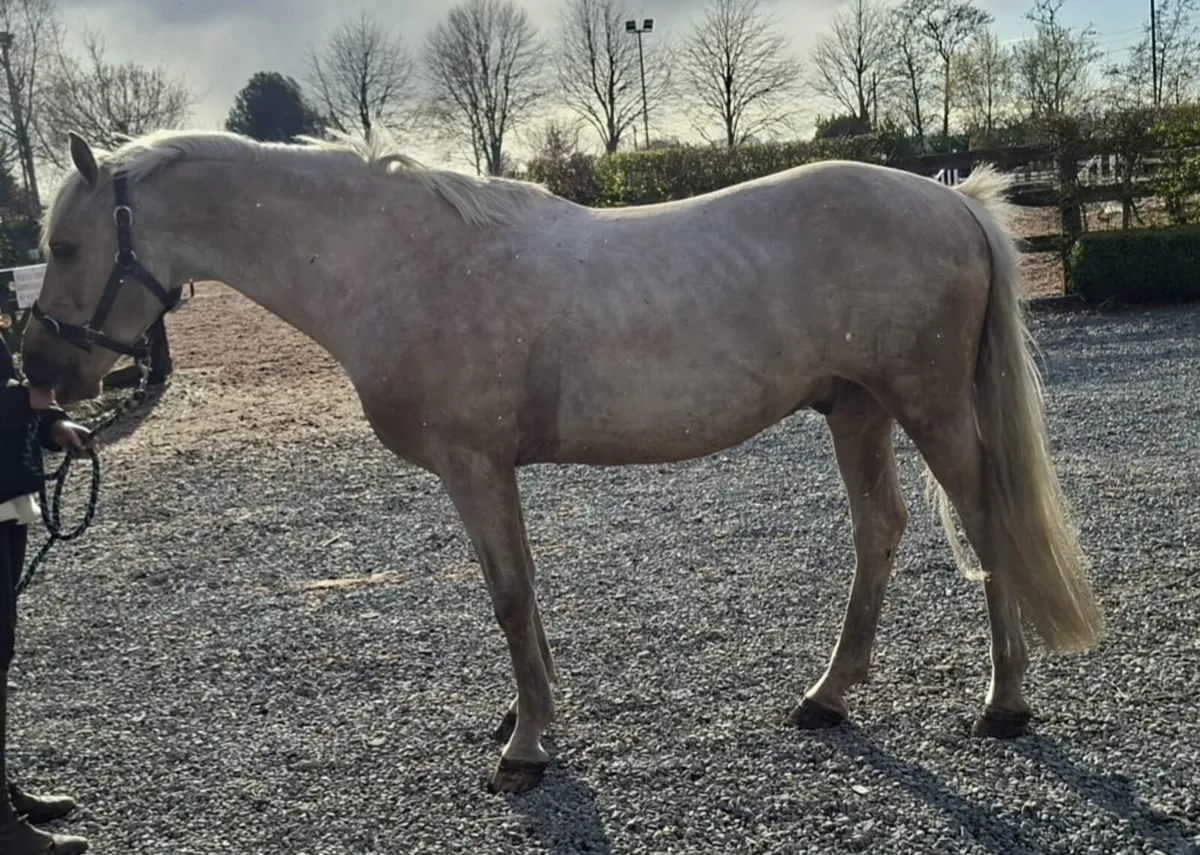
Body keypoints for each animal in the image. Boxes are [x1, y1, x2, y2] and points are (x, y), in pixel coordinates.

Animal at [22, 129, 1104, 795]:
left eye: (67, 246)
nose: (38, 374)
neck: (399, 262)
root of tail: (953, 202)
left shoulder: (474, 465)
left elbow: (508, 595)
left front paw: (527, 748)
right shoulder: (490, 471)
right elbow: (521, 596)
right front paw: (525, 719)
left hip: (925, 405)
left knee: (987, 525)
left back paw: (1004, 704)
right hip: (858, 409)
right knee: (881, 530)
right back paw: (827, 696)